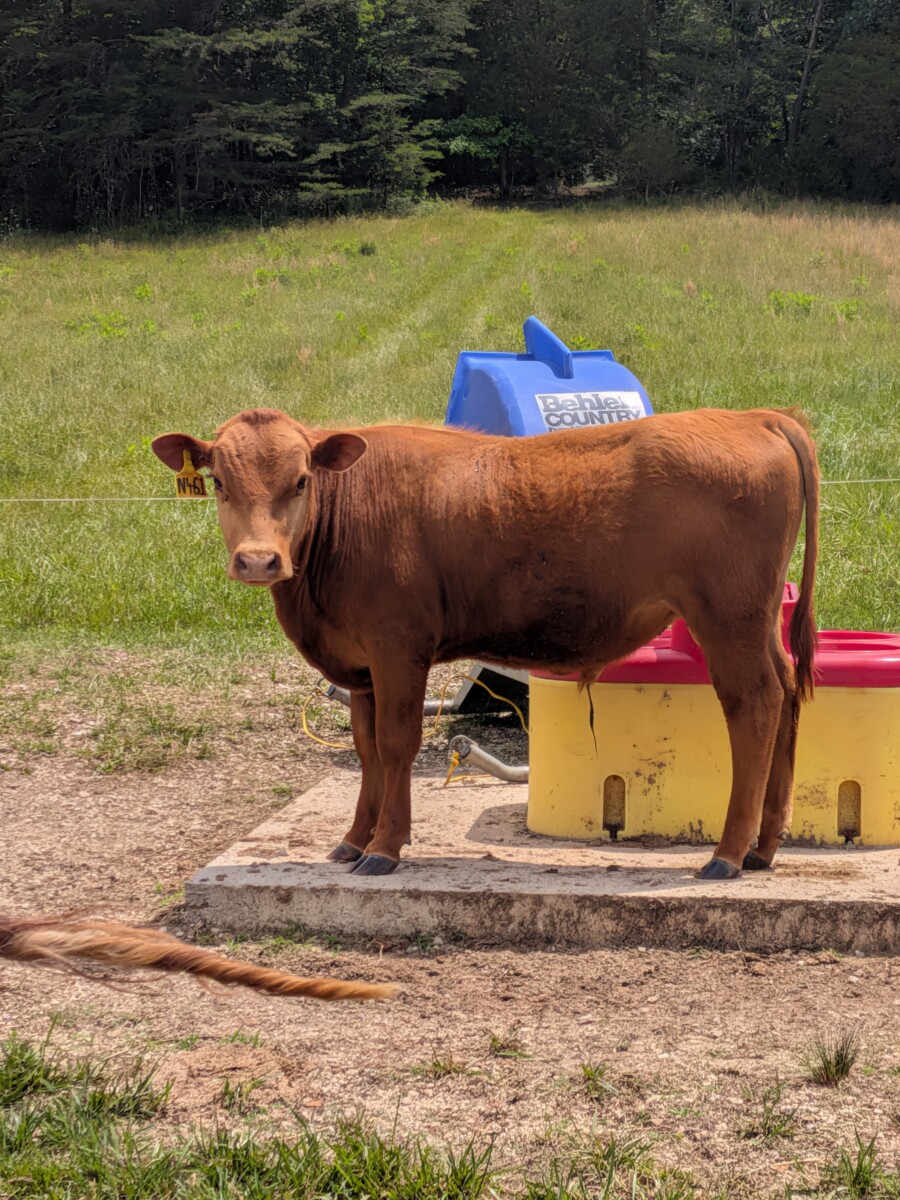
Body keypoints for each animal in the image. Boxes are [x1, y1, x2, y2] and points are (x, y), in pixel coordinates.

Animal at [153, 406, 819, 881]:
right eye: (218, 481)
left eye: (299, 480)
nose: (258, 560)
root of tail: (754, 415)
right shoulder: (362, 665)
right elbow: (367, 750)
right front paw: (353, 840)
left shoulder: (397, 648)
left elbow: (396, 745)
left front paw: (384, 847)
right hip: (758, 623)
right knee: (788, 693)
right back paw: (763, 848)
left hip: (727, 619)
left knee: (754, 706)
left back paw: (727, 854)